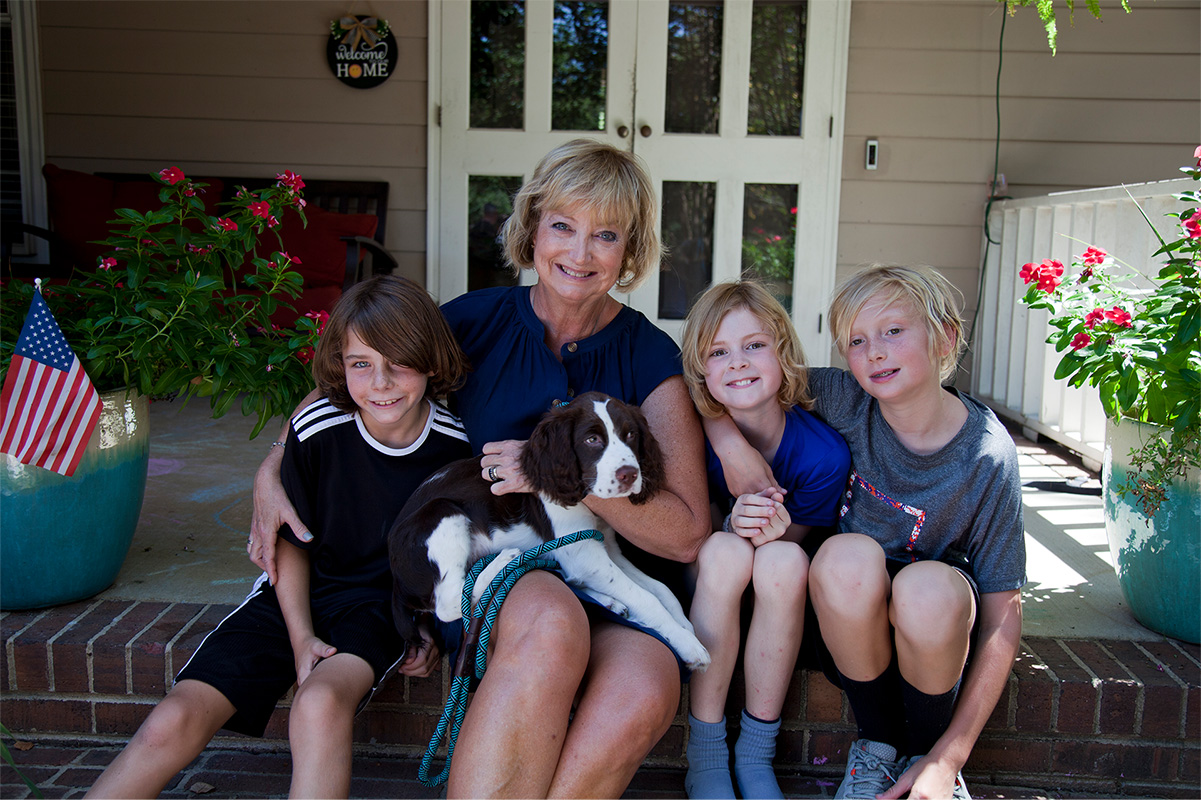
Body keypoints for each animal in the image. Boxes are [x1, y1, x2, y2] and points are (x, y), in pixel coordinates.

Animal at [384, 389, 706, 667]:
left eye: (630, 434)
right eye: (591, 439)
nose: (629, 474)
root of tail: (396, 580)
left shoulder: (604, 547)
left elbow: (661, 589)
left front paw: (686, 628)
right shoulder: (585, 553)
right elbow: (646, 597)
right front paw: (688, 645)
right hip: (440, 512)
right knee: (449, 602)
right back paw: (502, 561)